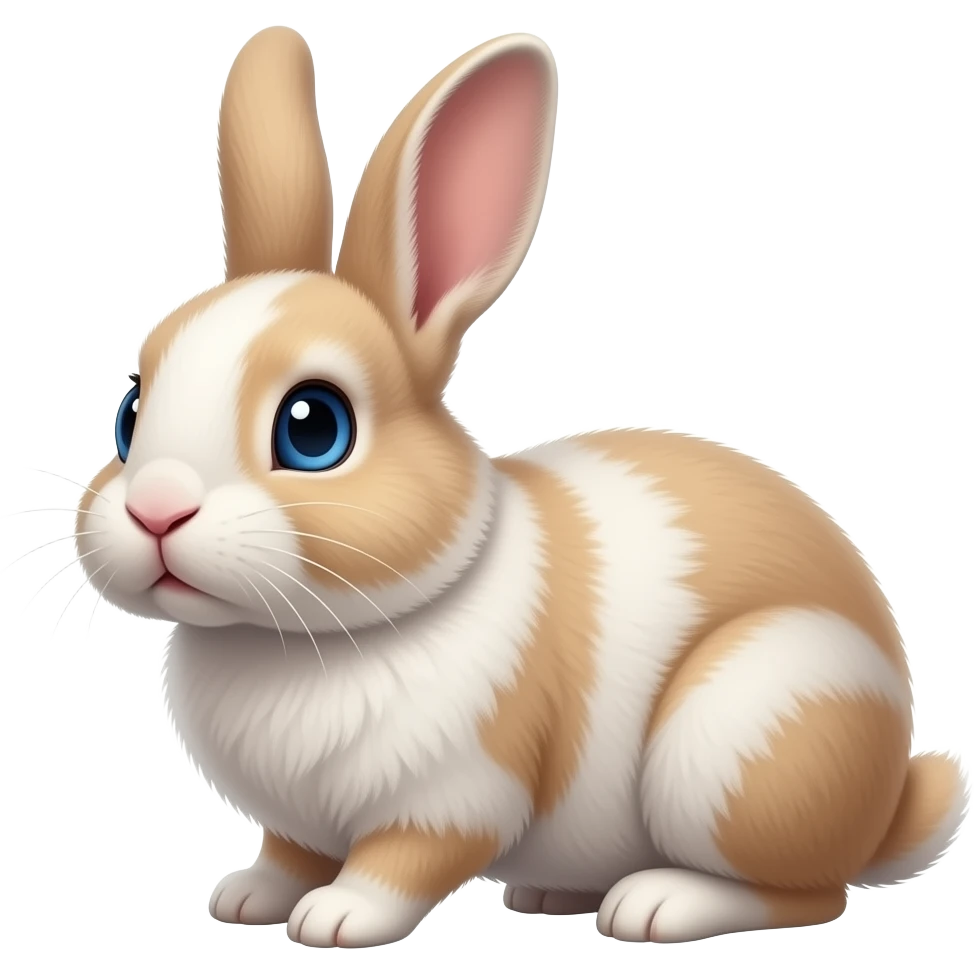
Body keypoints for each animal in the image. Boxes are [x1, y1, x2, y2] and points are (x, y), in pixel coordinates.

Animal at [74, 26, 970, 949]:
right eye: (130, 414)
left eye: (314, 427)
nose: (155, 510)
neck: (294, 639)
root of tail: (886, 805)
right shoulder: (296, 822)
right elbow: (289, 853)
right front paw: (248, 899)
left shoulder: (455, 796)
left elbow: (401, 862)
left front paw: (337, 918)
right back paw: (550, 894)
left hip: (752, 726)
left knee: (807, 894)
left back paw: (656, 904)